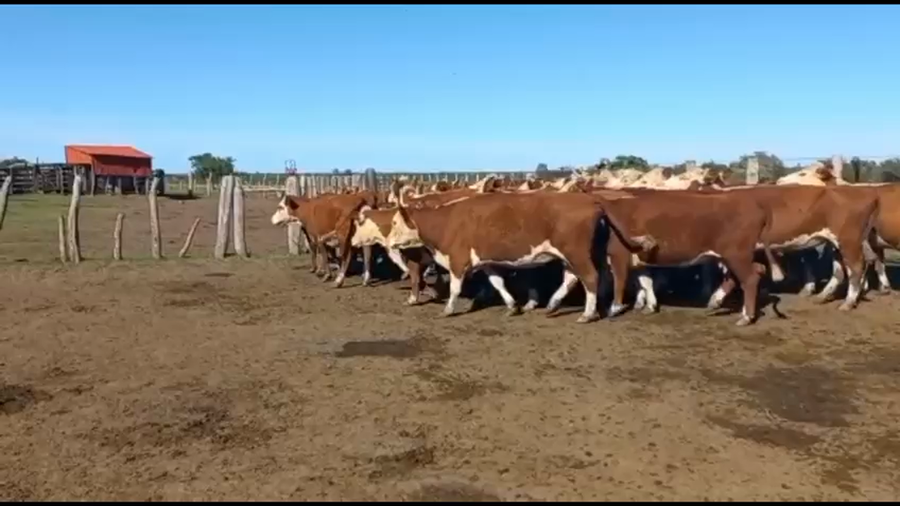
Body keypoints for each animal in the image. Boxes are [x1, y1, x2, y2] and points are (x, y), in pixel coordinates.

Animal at [384, 191, 657, 322]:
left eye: (396, 222)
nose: (387, 242)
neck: (446, 222)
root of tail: (591, 200)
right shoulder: (488, 262)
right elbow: (498, 283)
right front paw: (512, 306)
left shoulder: (458, 260)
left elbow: (454, 288)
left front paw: (448, 310)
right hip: (570, 255)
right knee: (571, 277)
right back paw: (553, 304)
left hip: (576, 252)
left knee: (590, 278)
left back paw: (587, 314)